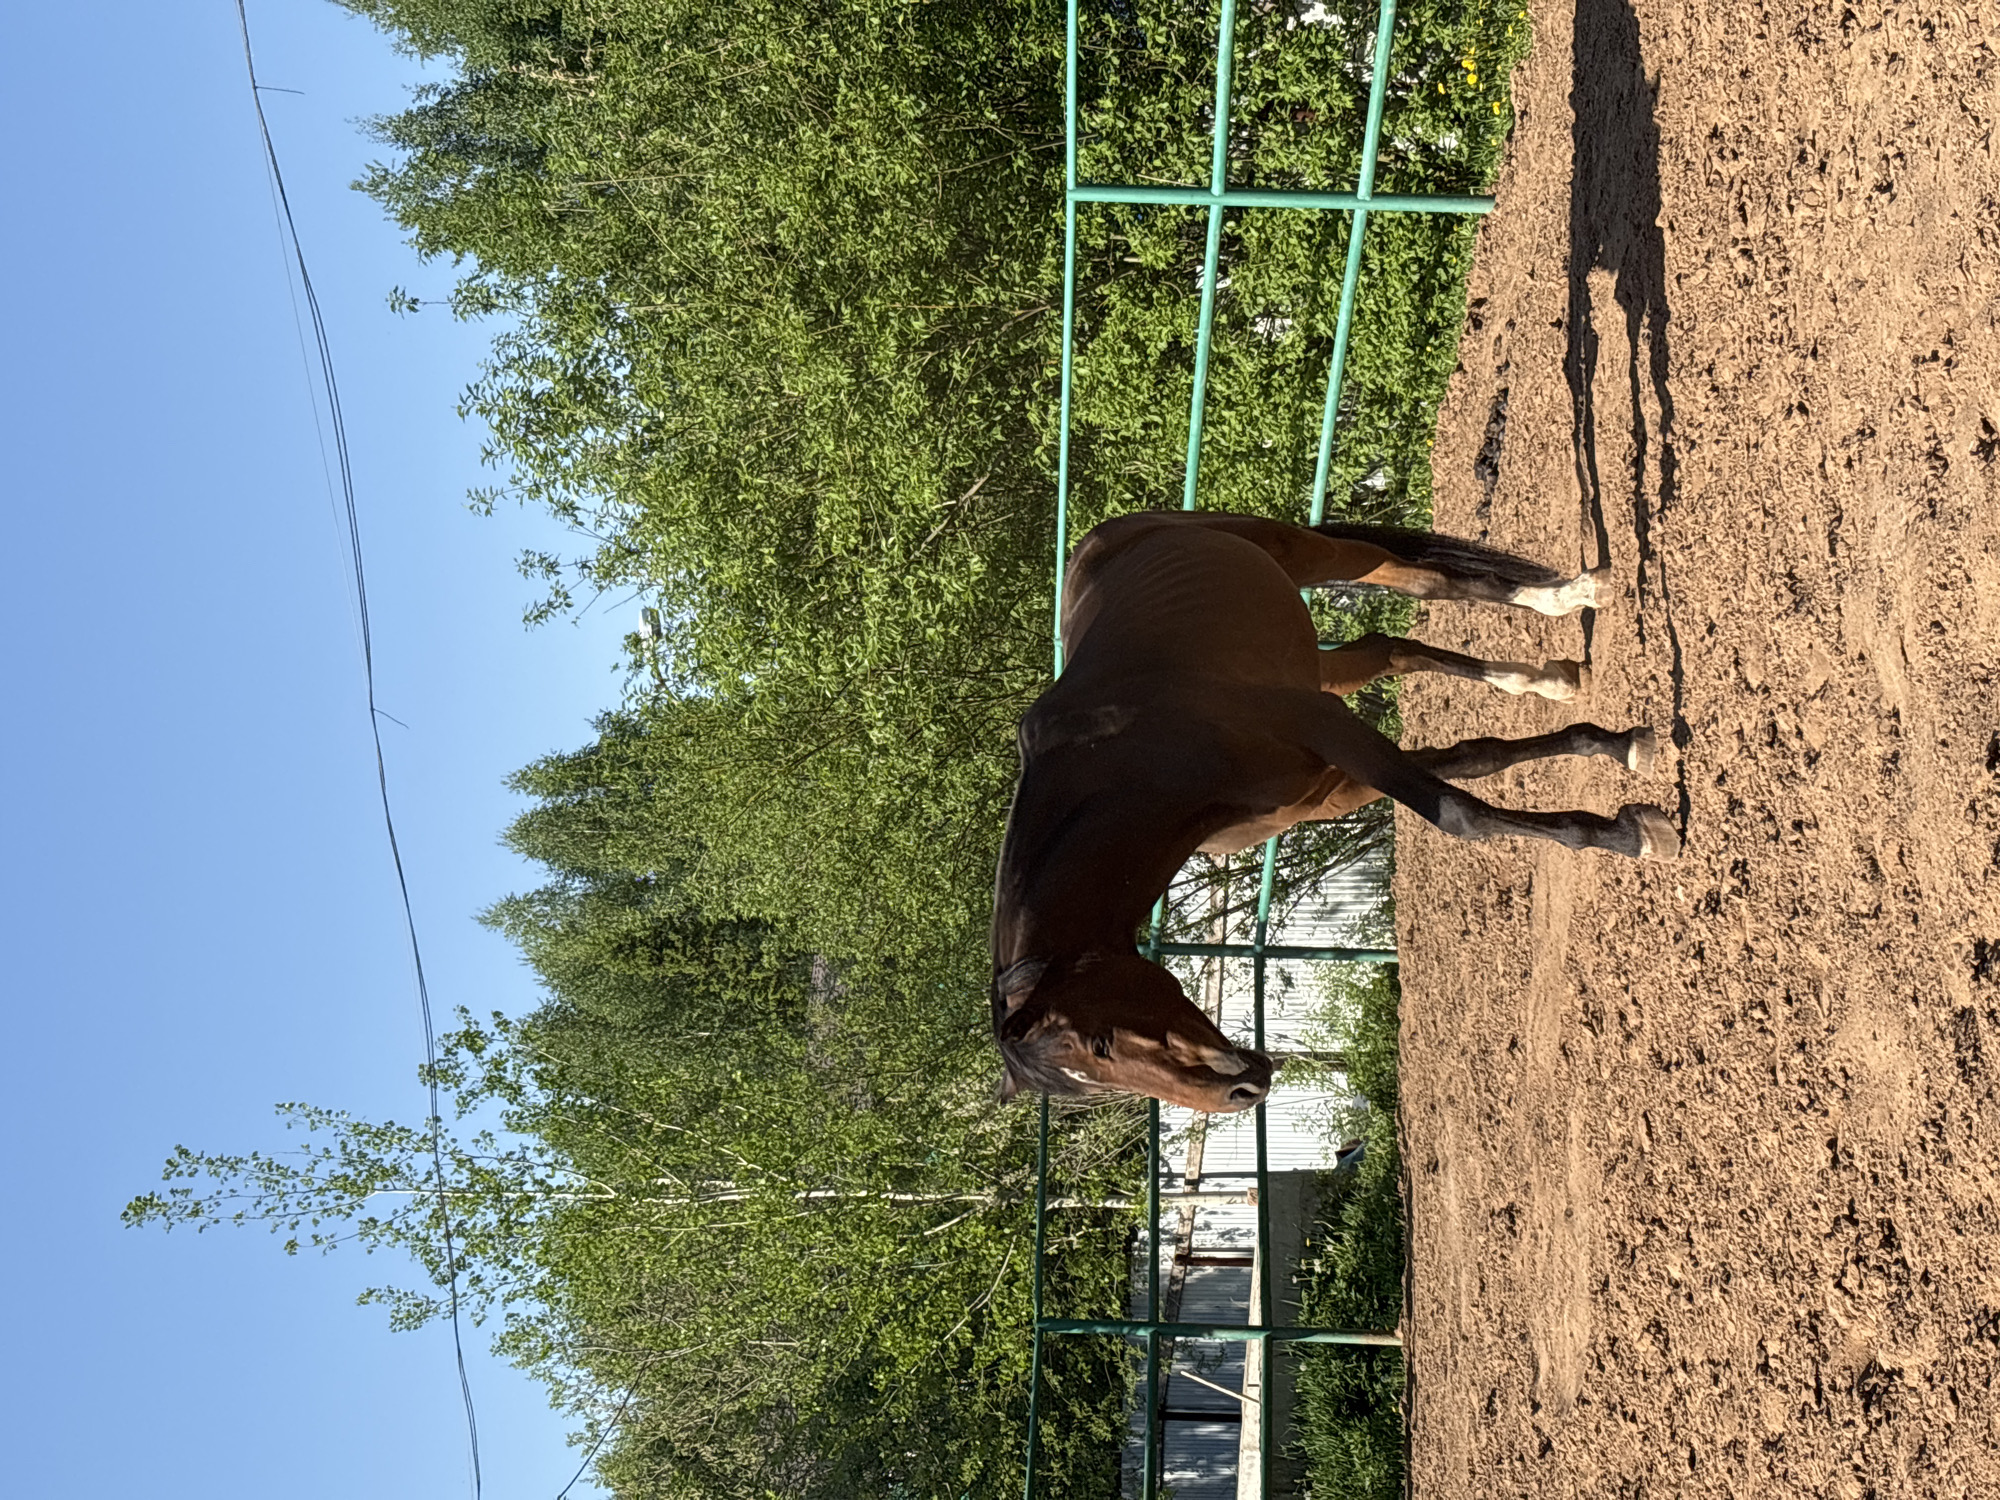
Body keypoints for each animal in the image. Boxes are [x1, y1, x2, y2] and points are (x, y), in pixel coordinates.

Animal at [990, 510, 1678, 1113]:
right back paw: (1547, 676)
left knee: (1427, 581)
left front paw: (1632, 830)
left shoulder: (1323, 726)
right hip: (1320, 662)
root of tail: (1108, 533)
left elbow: (1456, 810)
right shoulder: (1328, 788)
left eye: (1102, 1045)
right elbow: (1475, 758)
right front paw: (1613, 753)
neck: (1130, 758)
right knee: (1395, 640)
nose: (1242, 1094)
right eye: (1096, 1079)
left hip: (1311, 557)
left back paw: (1572, 595)